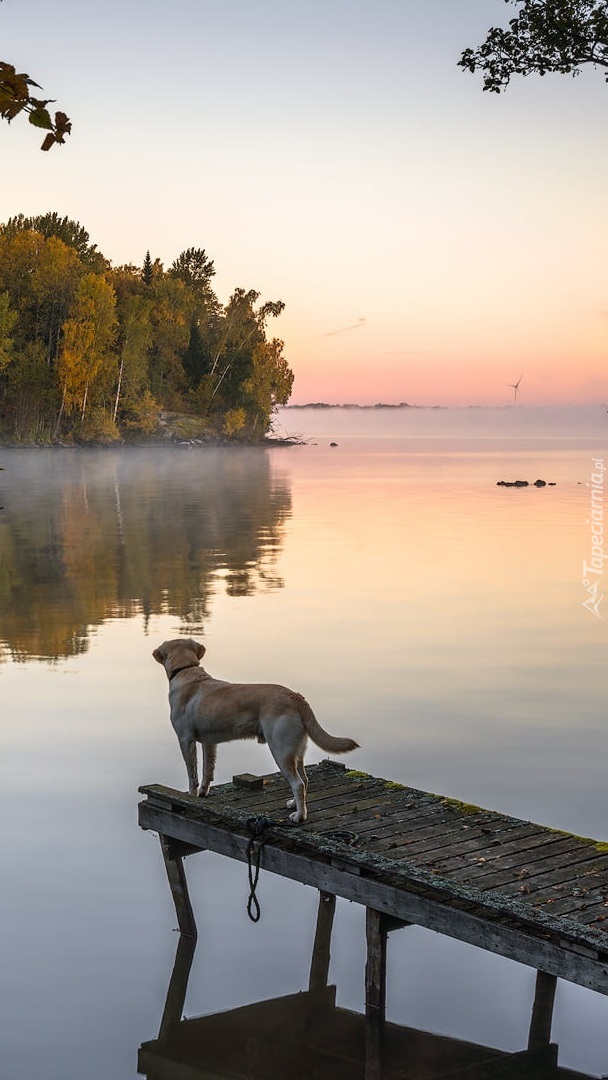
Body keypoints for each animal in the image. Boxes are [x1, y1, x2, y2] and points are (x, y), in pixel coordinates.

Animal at [154, 635, 358, 820]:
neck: (186, 671)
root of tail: (296, 697)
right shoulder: (208, 742)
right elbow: (207, 770)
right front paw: (203, 793)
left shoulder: (185, 739)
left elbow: (192, 775)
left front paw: (190, 796)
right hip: (296, 751)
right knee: (305, 780)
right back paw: (294, 805)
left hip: (280, 750)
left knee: (298, 784)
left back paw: (299, 817)